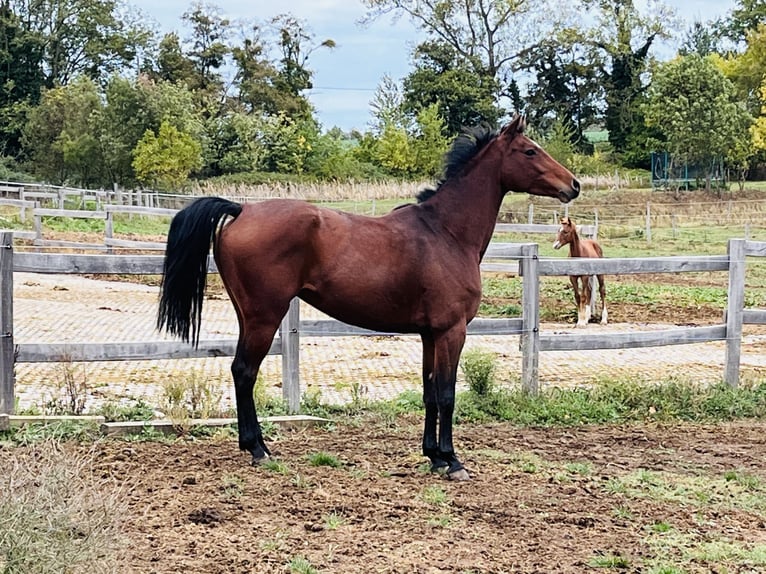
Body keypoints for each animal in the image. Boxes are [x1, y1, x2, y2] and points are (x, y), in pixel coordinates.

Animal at [157, 115, 579, 481]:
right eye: (530, 151)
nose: (573, 185)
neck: (445, 232)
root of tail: (241, 209)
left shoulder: (430, 334)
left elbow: (429, 391)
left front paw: (433, 457)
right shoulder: (452, 331)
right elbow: (447, 394)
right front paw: (453, 461)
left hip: (248, 316)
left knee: (239, 371)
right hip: (264, 318)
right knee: (245, 372)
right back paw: (259, 450)